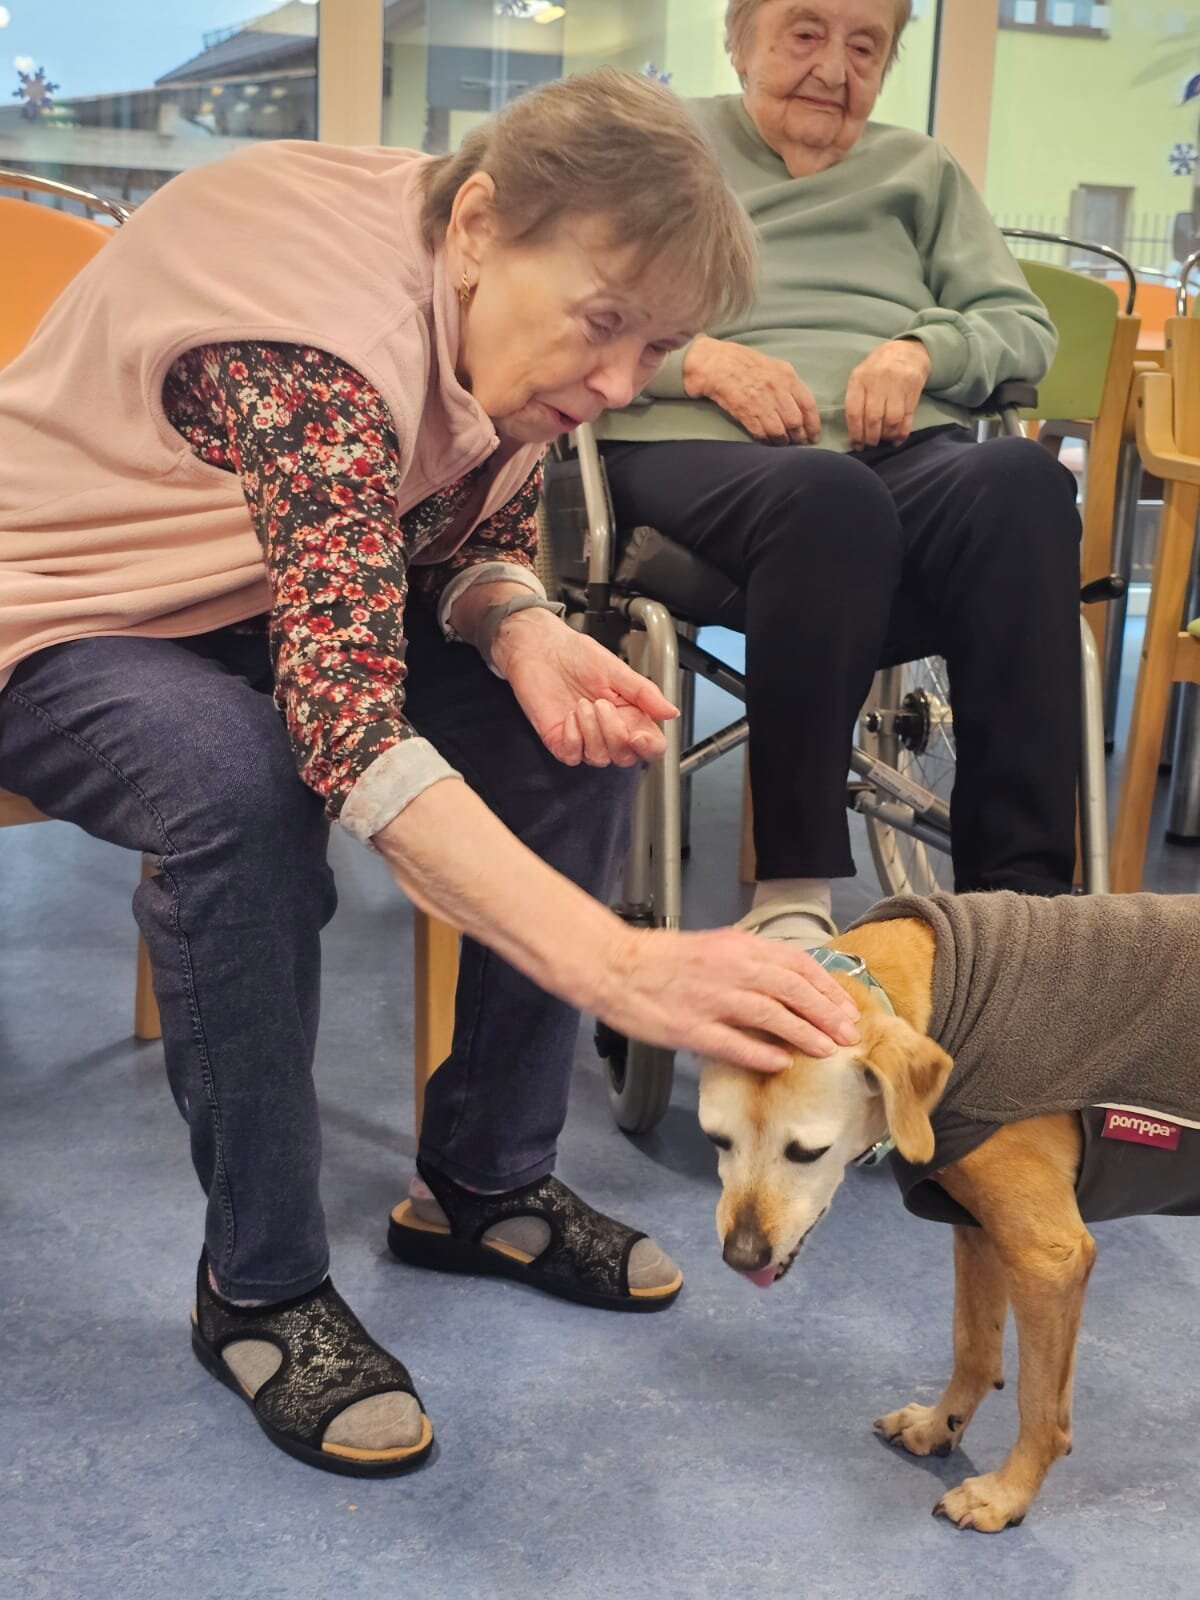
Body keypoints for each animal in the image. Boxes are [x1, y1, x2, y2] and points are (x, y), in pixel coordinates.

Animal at [698, 890, 1200, 1532]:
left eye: (807, 1151)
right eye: (716, 1140)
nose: (742, 1256)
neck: (945, 990)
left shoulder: (1048, 1259)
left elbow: (1040, 1407)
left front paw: (1007, 1494)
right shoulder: (977, 1230)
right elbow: (974, 1347)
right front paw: (942, 1426)